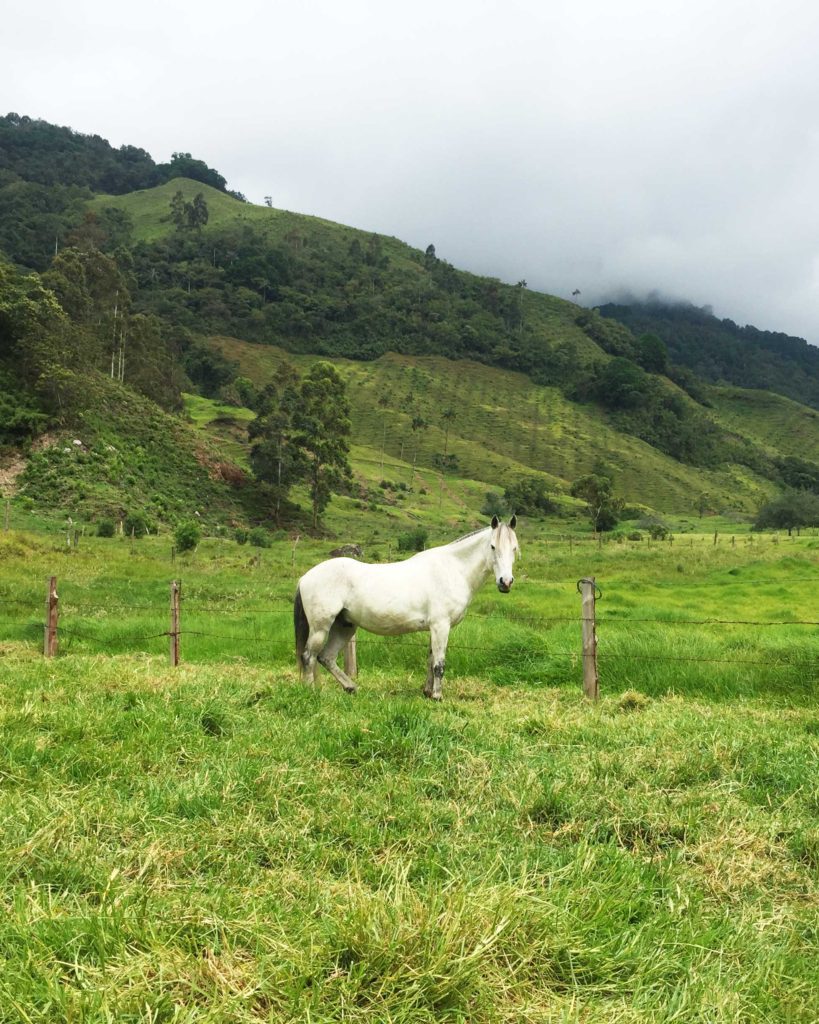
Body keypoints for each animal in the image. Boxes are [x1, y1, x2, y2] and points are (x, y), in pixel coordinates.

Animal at [294, 516, 518, 700]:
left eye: (515, 548)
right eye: (492, 547)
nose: (505, 582)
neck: (453, 569)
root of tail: (305, 577)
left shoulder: (434, 628)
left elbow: (430, 660)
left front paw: (427, 692)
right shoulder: (441, 626)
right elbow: (439, 664)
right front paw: (437, 696)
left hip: (344, 626)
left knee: (326, 658)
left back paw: (351, 688)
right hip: (321, 628)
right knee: (309, 657)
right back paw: (310, 692)